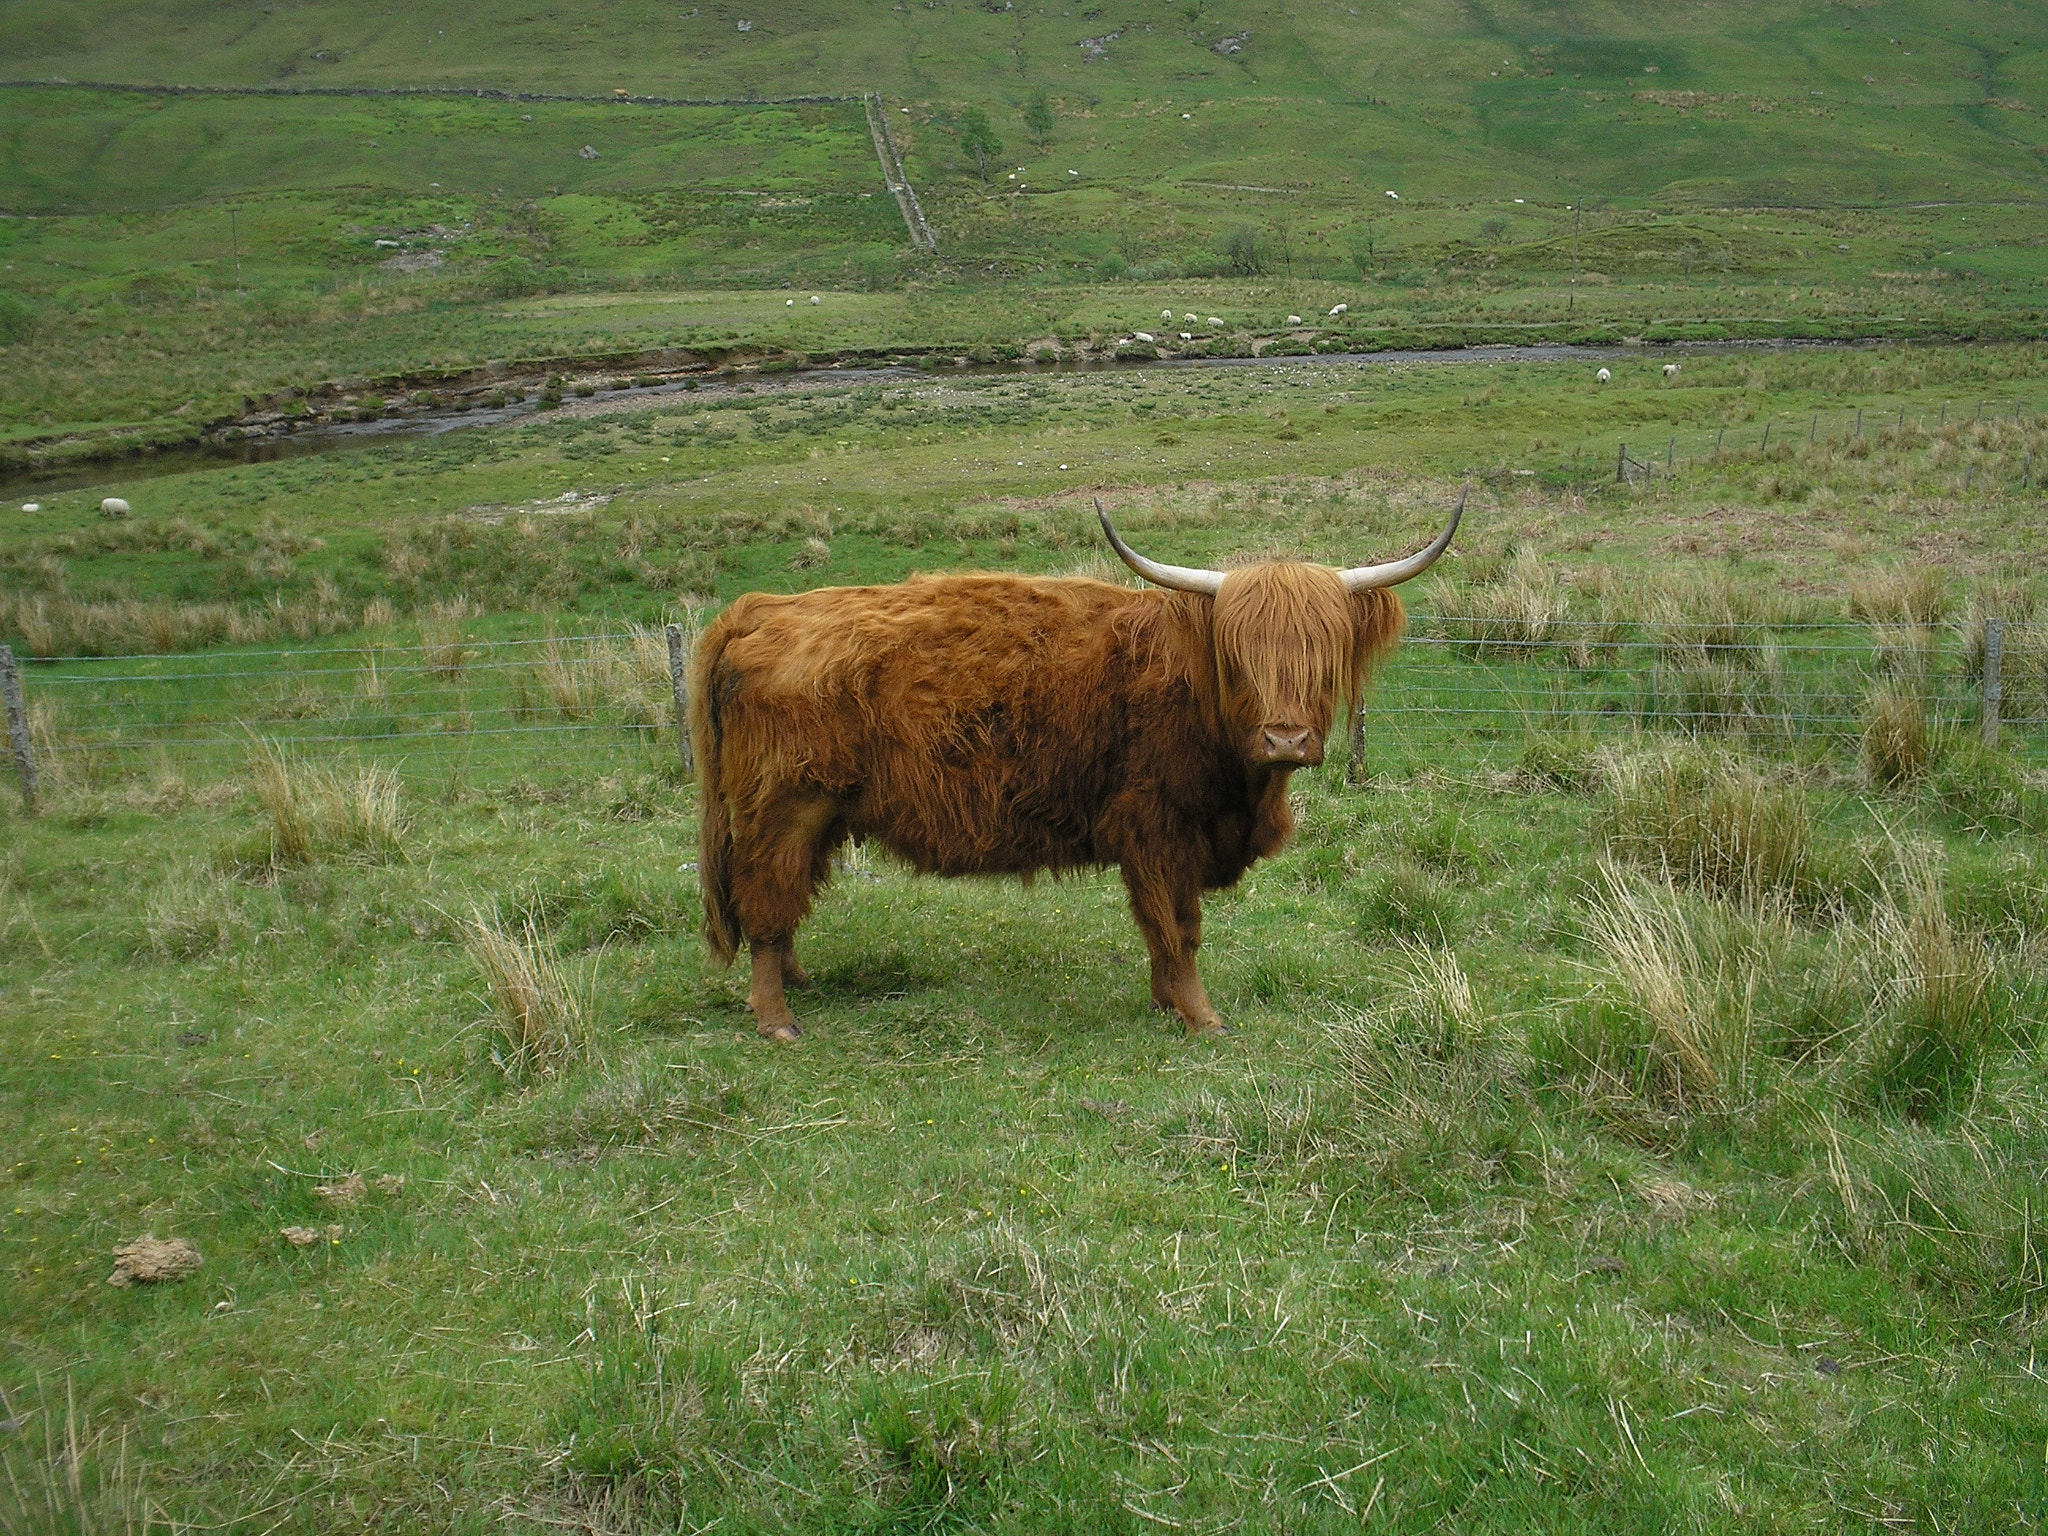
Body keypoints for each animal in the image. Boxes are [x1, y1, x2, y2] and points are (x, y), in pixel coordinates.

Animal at [691, 493, 1463, 1041]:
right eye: (1239, 656)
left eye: (1323, 655)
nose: (1286, 740)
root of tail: (760, 609)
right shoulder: (1155, 829)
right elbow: (1177, 929)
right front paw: (1200, 1017)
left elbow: (1169, 930)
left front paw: (1165, 1004)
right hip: (784, 807)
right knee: (764, 904)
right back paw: (777, 1019)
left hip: (812, 815)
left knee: (785, 900)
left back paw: (798, 982)